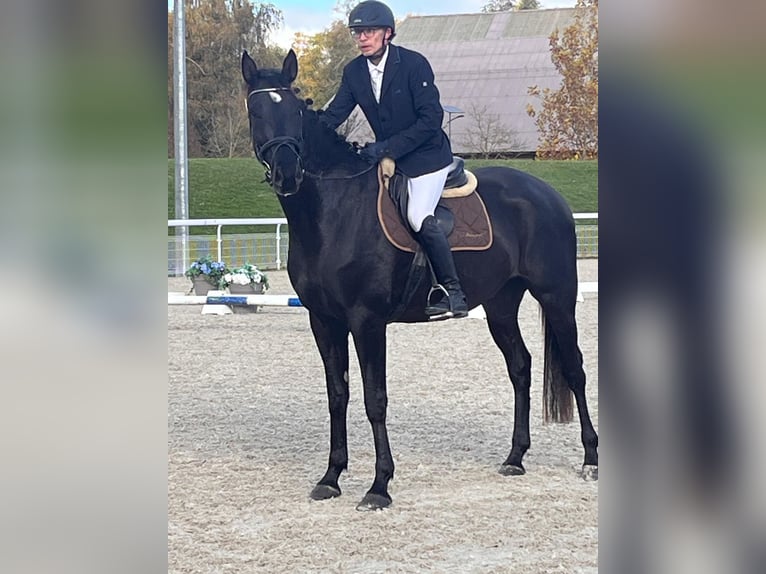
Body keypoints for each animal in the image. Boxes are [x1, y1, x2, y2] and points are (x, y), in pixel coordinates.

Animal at [241, 49, 598, 510]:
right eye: (257, 111)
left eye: (295, 111)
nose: (288, 172)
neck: (332, 213)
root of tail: (547, 194)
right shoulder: (323, 320)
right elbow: (338, 395)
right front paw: (331, 477)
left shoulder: (367, 321)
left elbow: (375, 399)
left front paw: (379, 486)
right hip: (501, 305)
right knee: (520, 367)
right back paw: (515, 457)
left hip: (557, 297)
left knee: (575, 368)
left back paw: (590, 459)